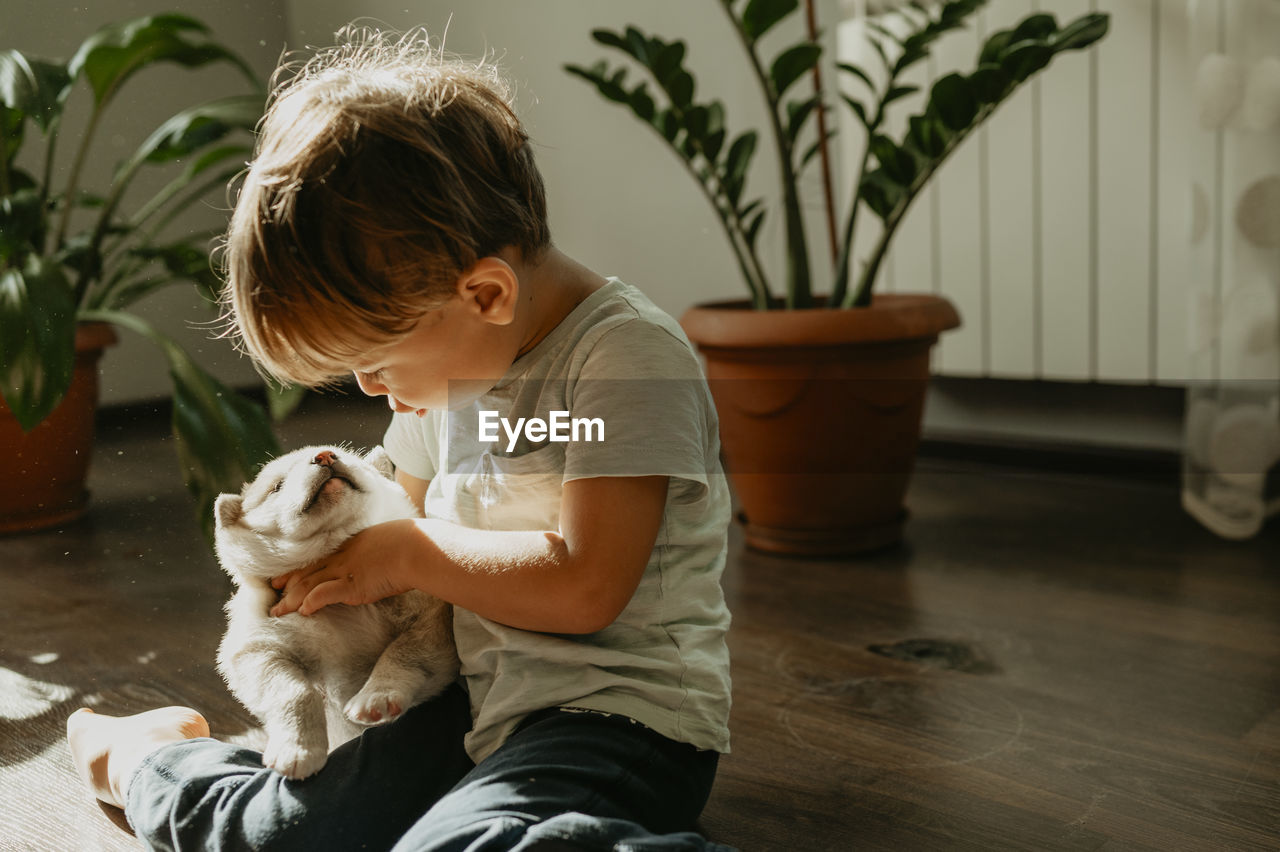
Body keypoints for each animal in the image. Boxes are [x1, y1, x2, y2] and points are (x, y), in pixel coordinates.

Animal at [213, 445, 460, 777]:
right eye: (277, 486)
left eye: (350, 457)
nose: (324, 455)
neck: (339, 602)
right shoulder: (260, 643)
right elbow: (293, 692)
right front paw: (297, 750)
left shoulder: (434, 613)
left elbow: (406, 650)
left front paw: (377, 696)